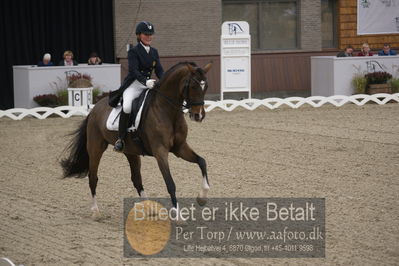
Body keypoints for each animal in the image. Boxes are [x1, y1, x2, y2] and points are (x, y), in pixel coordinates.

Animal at [60, 62, 212, 218]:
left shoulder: (180, 147)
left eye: (205, 86)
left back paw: (149, 208)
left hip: (131, 151)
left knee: (136, 179)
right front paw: (178, 215)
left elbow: (202, 161)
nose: (198, 116)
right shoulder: (160, 151)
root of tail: (93, 110)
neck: (168, 111)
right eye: (193, 86)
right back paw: (96, 212)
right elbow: (170, 183)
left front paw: (202, 197)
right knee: (93, 177)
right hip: (96, 148)